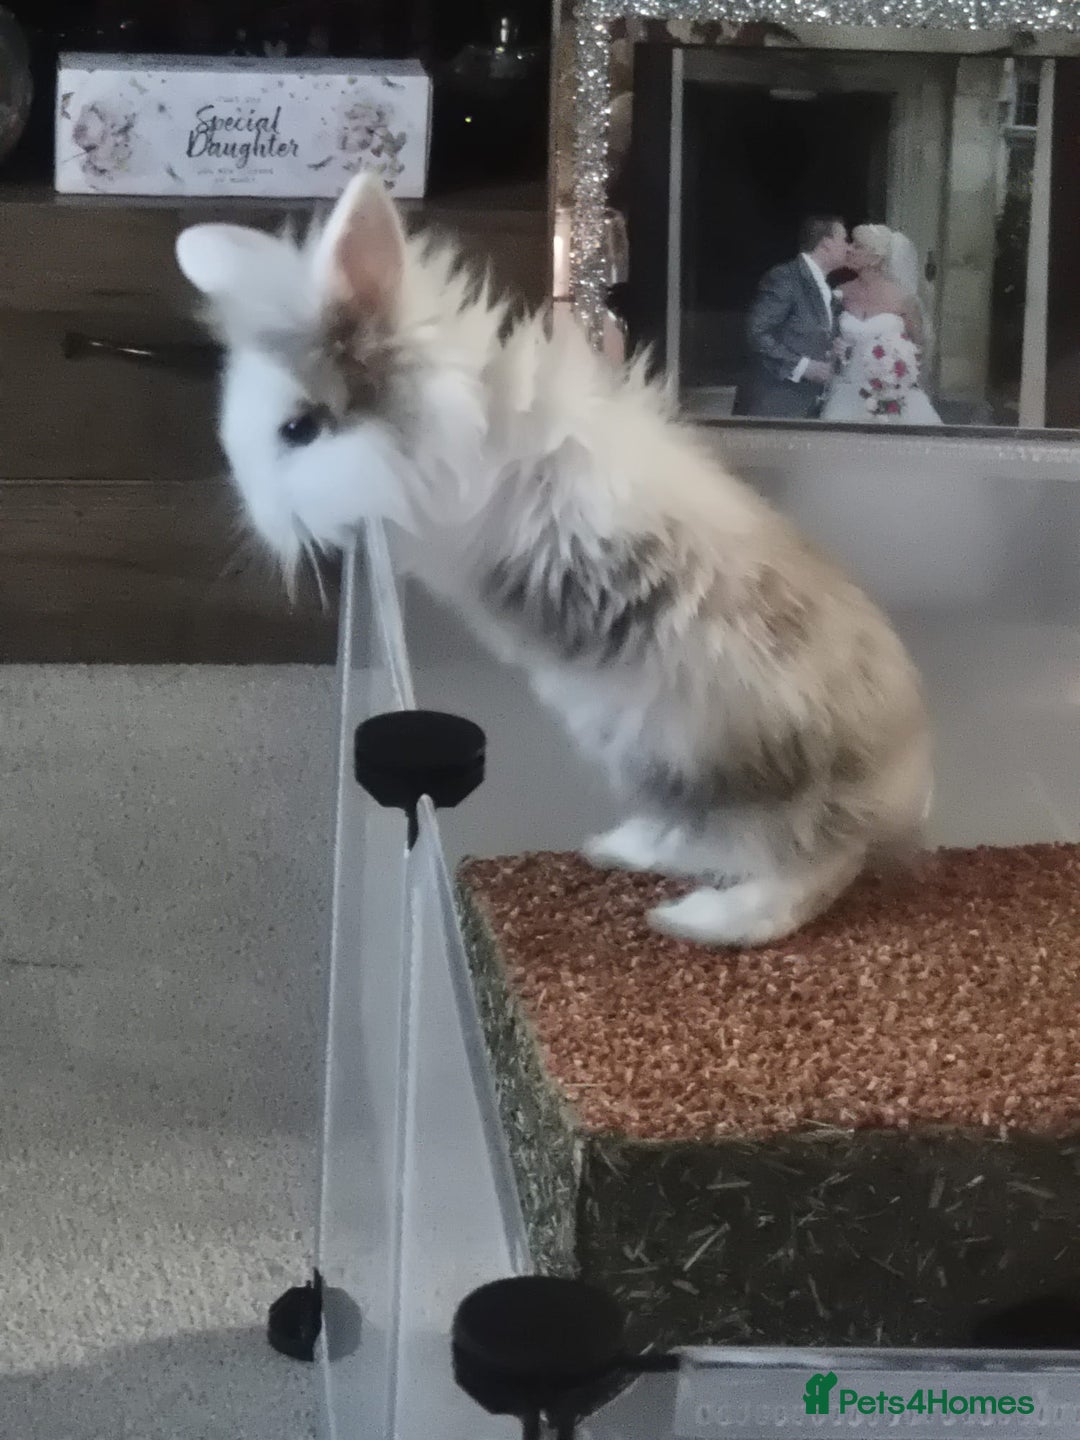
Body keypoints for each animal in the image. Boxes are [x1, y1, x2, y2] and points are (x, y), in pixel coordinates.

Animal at [174, 173, 933, 948]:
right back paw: (616, 848)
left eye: (298, 428)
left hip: (722, 762)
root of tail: (905, 790)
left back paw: (700, 920)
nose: (262, 522)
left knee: (809, 869)